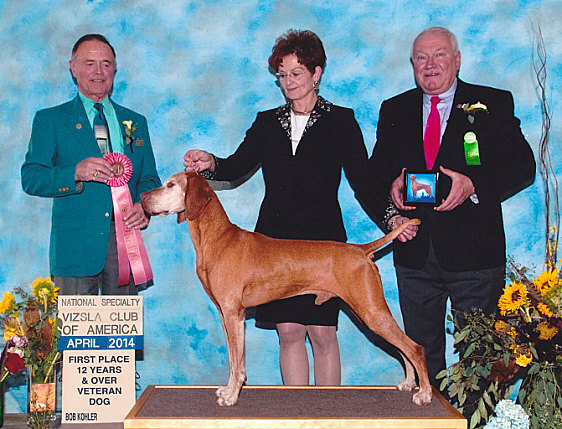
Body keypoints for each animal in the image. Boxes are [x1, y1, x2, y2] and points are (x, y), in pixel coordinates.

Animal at [139, 171, 428, 404]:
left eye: (170, 184)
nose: (142, 196)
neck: (217, 238)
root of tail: (360, 250)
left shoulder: (234, 313)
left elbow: (238, 361)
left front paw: (232, 396)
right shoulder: (225, 314)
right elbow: (232, 358)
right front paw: (228, 389)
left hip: (371, 311)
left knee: (414, 347)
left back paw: (424, 393)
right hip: (369, 313)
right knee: (402, 347)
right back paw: (408, 383)